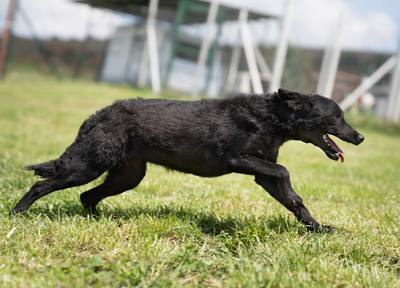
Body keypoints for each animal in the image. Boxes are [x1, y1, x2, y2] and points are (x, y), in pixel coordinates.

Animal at [12, 88, 364, 232]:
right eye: (337, 116)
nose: (360, 137)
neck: (270, 117)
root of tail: (97, 115)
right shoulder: (240, 160)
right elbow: (285, 171)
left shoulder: (261, 173)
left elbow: (294, 200)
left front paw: (318, 228)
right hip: (87, 166)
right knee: (41, 186)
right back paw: (16, 214)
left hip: (127, 176)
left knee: (87, 196)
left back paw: (98, 221)